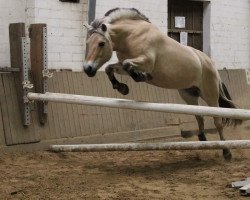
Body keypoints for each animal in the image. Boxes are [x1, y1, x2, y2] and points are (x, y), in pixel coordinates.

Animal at [84, 8, 242, 161]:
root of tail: (211, 64)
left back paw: (226, 152)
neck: (132, 36)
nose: (87, 69)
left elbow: (128, 64)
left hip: (210, 94)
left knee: (217, 121)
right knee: (200, 116)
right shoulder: (123, 66)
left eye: (101, 43)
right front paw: (122, 88)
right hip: (188, 94)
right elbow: (111, 68)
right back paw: (203, 139)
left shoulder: (145, 61)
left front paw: (141, 77)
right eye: (87, 43)